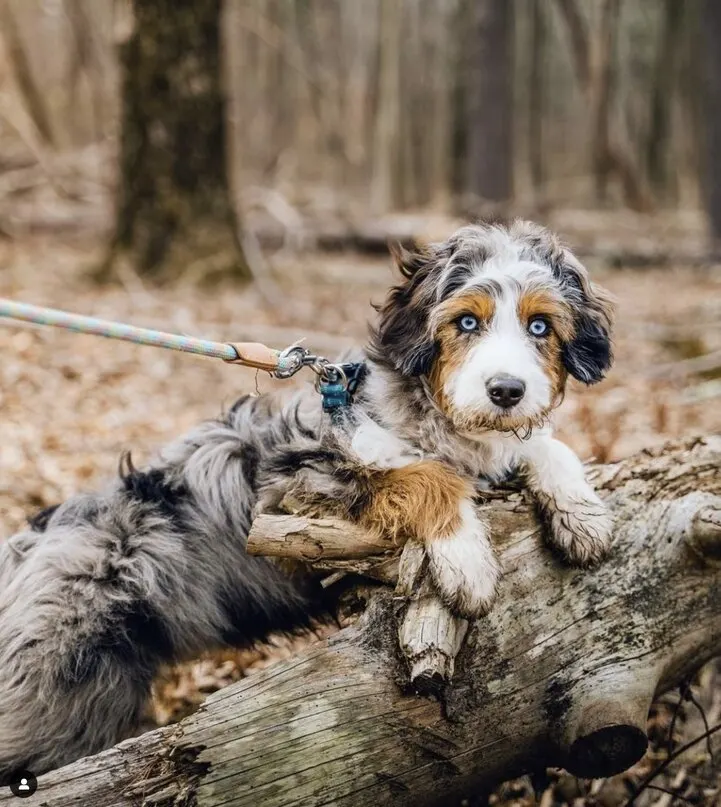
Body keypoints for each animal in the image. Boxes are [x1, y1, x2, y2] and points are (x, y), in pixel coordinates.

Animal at [0, 219, 612, 776]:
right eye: (467, 321)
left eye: (540, 325)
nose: (506, 391)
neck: (434, 422)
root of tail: (30, 546)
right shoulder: (304, 480)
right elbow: (424, 476)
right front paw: (469, 563)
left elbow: (544, 446)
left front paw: (582, 516)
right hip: (55, 698)